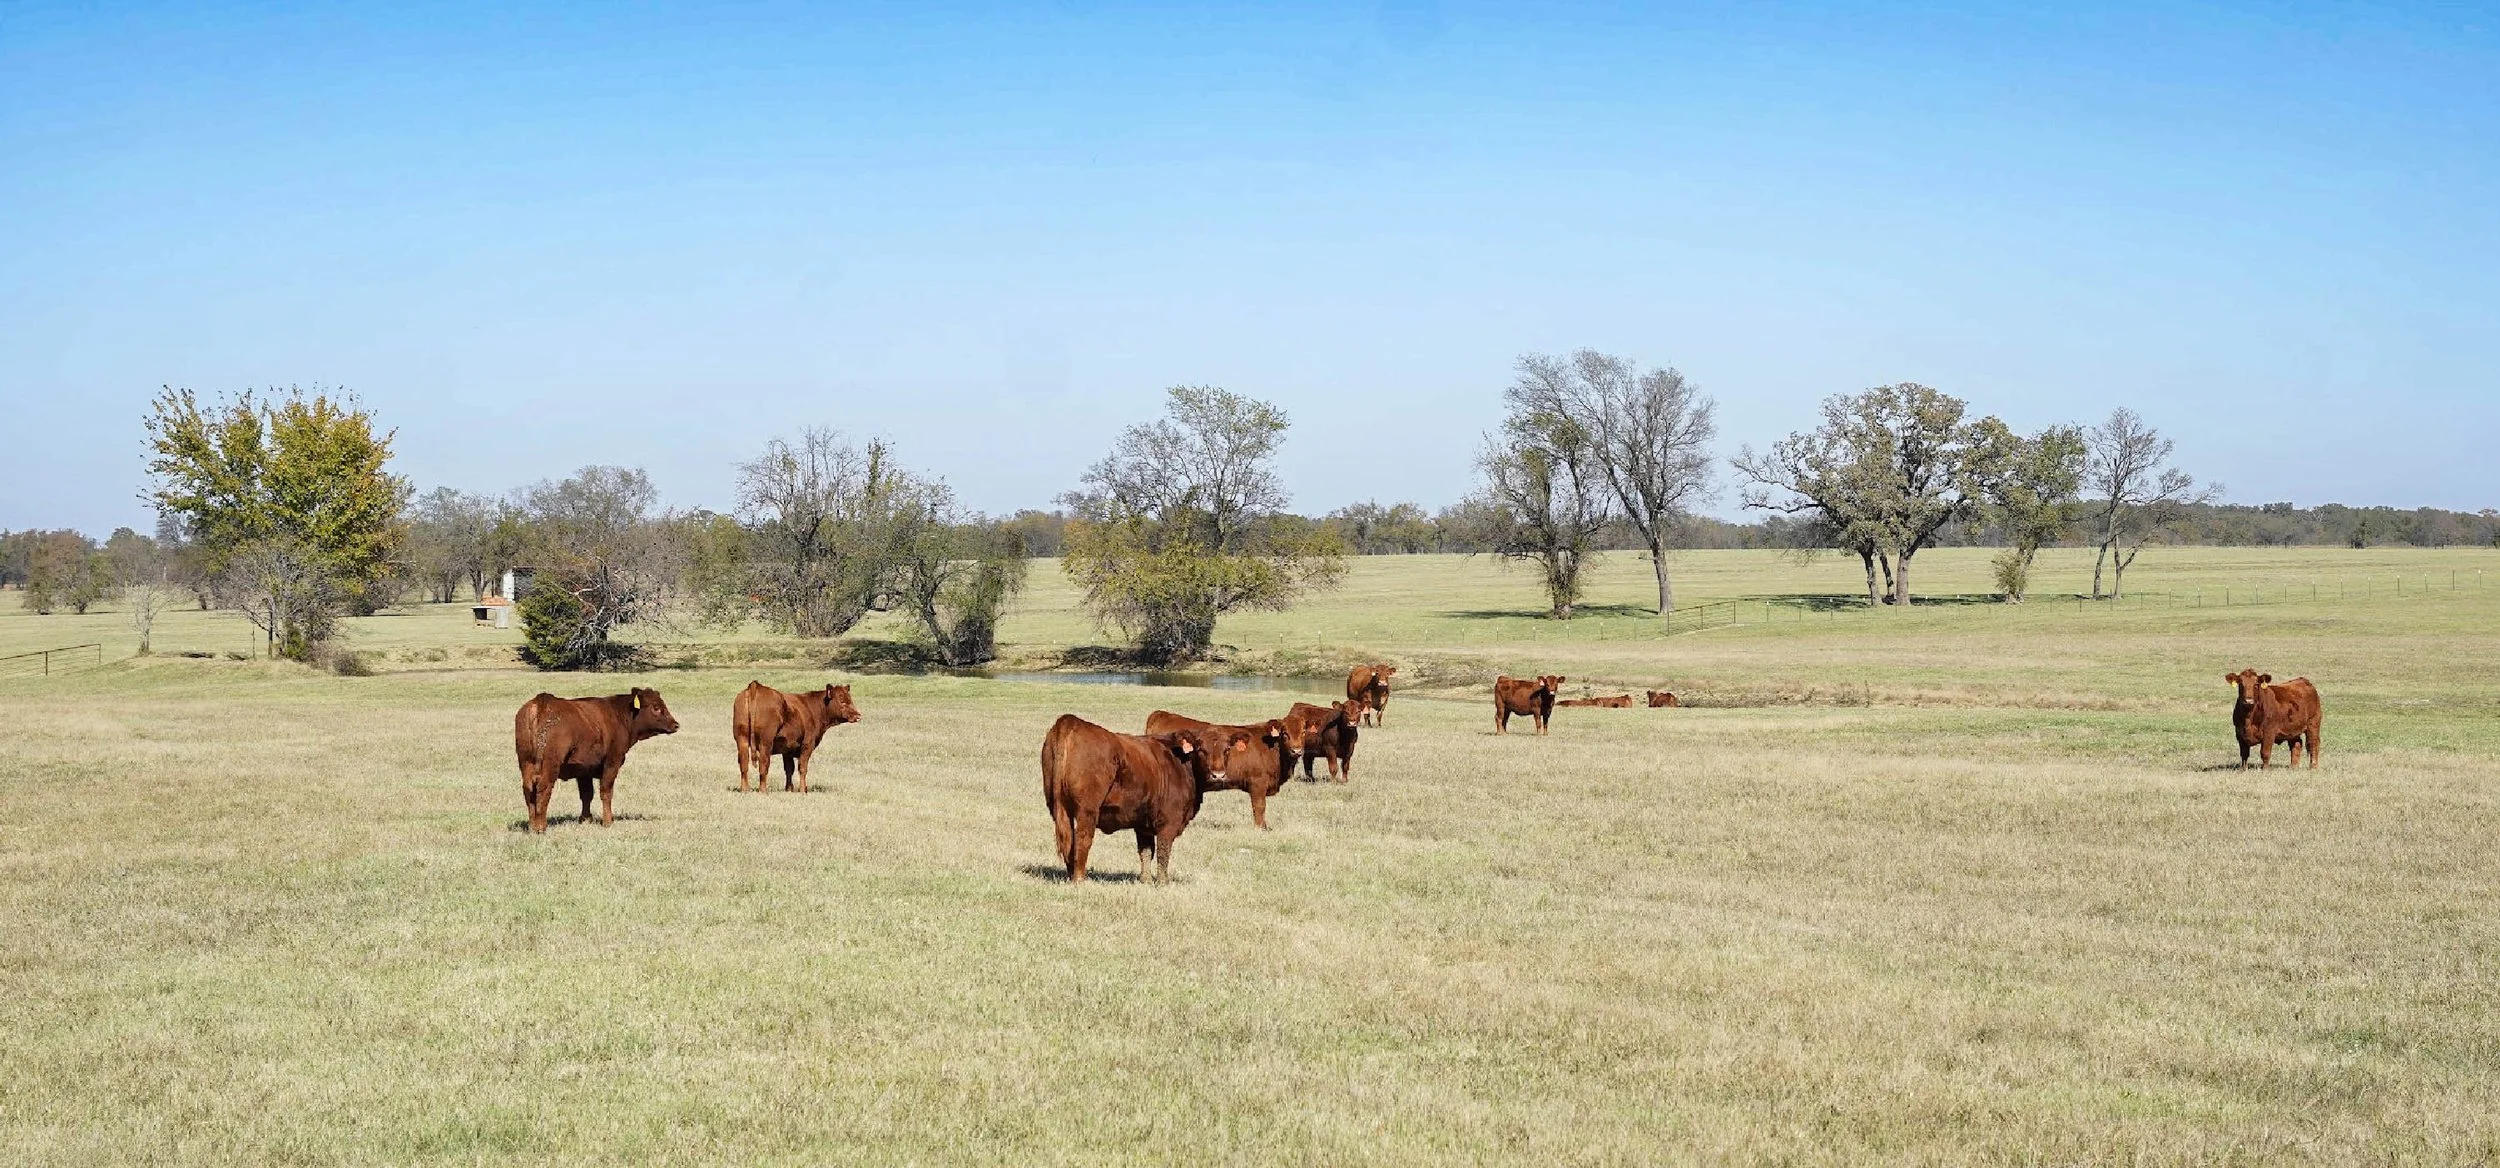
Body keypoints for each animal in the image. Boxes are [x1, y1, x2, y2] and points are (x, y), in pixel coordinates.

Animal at [512, 688, 681, 834]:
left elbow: (587, 794)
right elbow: (606, 792)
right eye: (656, 707)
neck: (619, 715)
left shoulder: (583, 769)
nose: (676, 725)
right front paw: (608, 821)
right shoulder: (612, 762)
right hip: (550, 764)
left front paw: (586, 819)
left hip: (526, 762)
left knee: (528, 789)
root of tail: (542, 701)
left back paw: (531, 825)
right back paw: (540, 827)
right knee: (543, 788)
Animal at [732, 681, 862, 793]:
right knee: (764, 764)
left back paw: (745, 789)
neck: (813, 708)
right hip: (766, 741)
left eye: (850, 699)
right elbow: (802, 768)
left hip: (741, 738)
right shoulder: (807, 744)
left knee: (743, 764)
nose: (858, 716)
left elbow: (789, 769)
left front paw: (789, 789)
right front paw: (803, 790)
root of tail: (756, 686)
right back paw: (763, 790)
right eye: (842, 700)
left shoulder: (787, 748)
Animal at [1040, 714, 1241, 883]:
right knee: (1082, 839)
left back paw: (1071, 875)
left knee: (1067, 840)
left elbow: (1145, 851)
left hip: (1058, 808)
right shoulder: (1169, 821)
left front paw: (1145, 880)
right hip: (1087, 811)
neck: (1182, 762)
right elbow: (1163, 852)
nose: (1218, 775)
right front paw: (1162, 882)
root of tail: (1073, 722)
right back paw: (1080, 879)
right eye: (1201, 750)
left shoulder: (1143, 823)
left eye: (1227, 750)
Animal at [1144, 711, 1293, 829]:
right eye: (1284, 733)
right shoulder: (1257, 784)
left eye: (1227, 749)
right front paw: (1261, 828)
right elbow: (1259, 807)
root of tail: (1160, 714)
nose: (1296, 750)